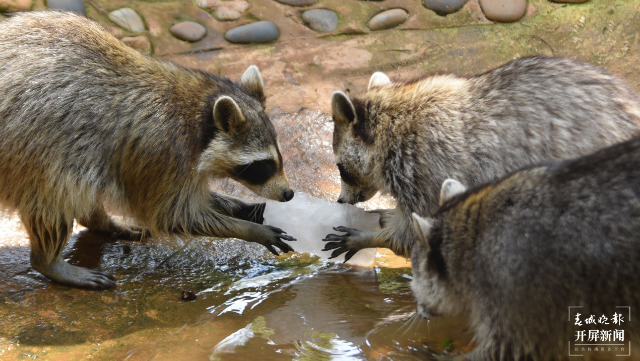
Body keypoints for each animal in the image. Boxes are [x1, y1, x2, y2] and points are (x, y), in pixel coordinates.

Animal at [0, 11, 296, 290]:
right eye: (263, 165)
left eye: (279, 157)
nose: (289, 194)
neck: (196, 109)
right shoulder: (159, 150)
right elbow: (171, 214)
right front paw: (252, 230)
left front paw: (237, 205)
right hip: (33, 150)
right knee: (55, 195)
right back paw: (49, 261)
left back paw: (101, 221)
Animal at [322, 55, 640, 258]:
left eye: (341, 168)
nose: (340, 200)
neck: (394, 119)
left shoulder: (424, 168)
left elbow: (416, 231)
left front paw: (373, 237)